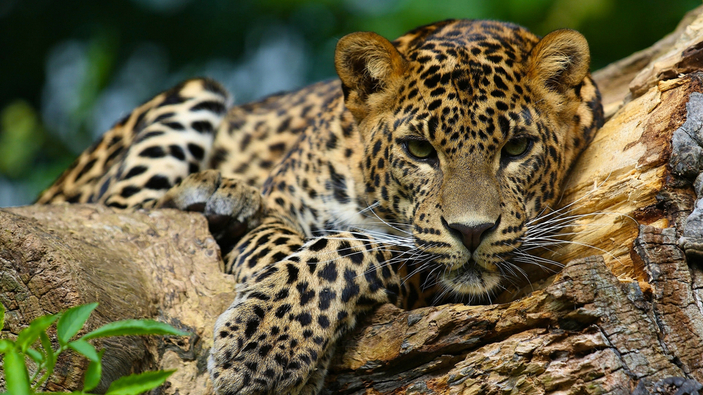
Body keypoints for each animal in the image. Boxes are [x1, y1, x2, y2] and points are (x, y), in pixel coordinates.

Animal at [35, 19, 604, 395]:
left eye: (517, 149)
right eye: (419, 150)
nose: (471, 231)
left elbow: (347, 250)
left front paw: (268, 342)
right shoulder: (280, 203)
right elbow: (280, 249)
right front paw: (268, 334)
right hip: (194, 95)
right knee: (126, 211)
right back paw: (216, 193)